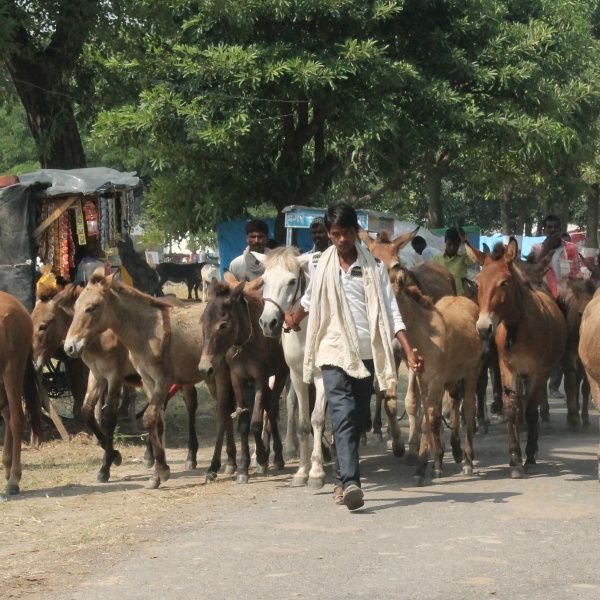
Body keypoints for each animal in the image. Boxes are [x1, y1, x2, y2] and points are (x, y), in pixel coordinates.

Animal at [256, 248, 330, 488]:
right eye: (264, 280)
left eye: (292, 281)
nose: (268, 323)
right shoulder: (297, 376)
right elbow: (304, 422)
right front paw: (302, 471)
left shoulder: (322, 377)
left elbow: (317, 418)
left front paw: (316, 472)